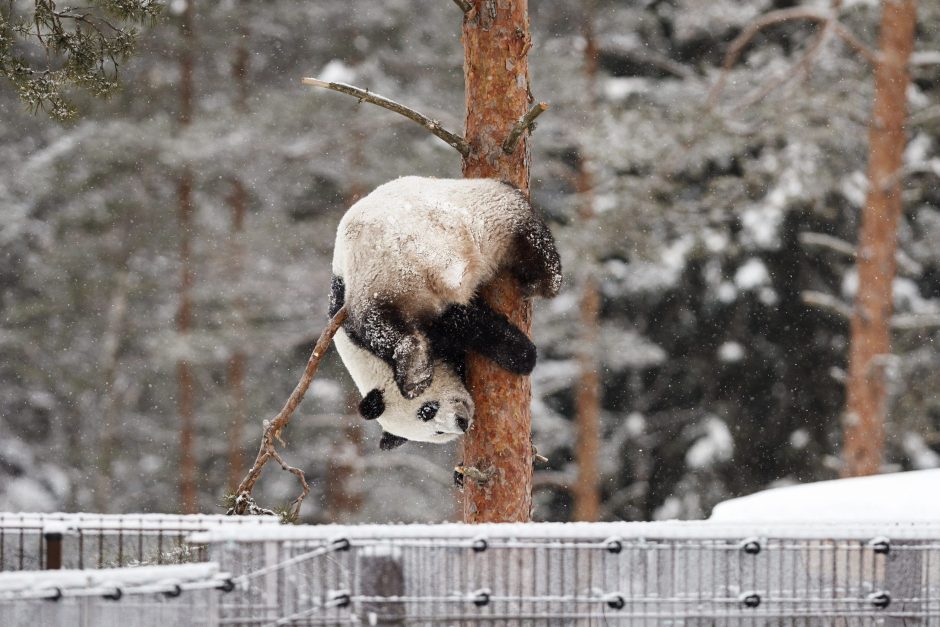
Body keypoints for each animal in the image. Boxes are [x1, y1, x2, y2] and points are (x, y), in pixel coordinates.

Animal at [330, 177, 560, 448]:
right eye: (437, 432)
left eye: (427, 410)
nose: (461, 423)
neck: (369, 365)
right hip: (481, 222)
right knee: (528, 240)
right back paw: (544, 283)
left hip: (376, 276)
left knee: (383, 324)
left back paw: (414, 374)